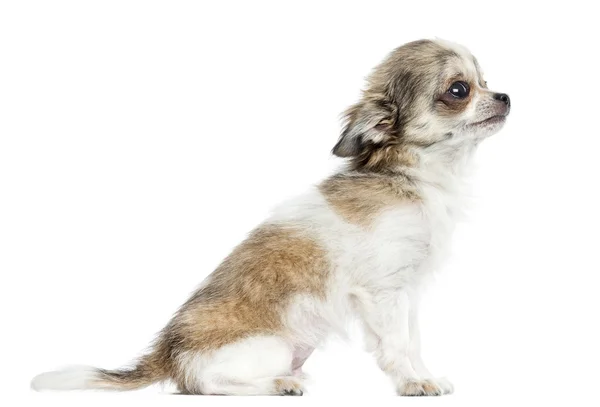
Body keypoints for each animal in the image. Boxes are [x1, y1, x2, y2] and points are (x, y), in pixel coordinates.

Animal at [31, 38, 510, 396]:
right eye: (459, 90)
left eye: (485, 82)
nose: (504, 95)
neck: (412, 177)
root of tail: (168, 353)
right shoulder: (384, 292)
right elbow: (396, 346)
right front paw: (412, 383)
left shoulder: (407, 292)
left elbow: (412, 342)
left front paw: (425, 375)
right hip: (269, 348)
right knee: (202, 385)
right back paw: (279, 384)